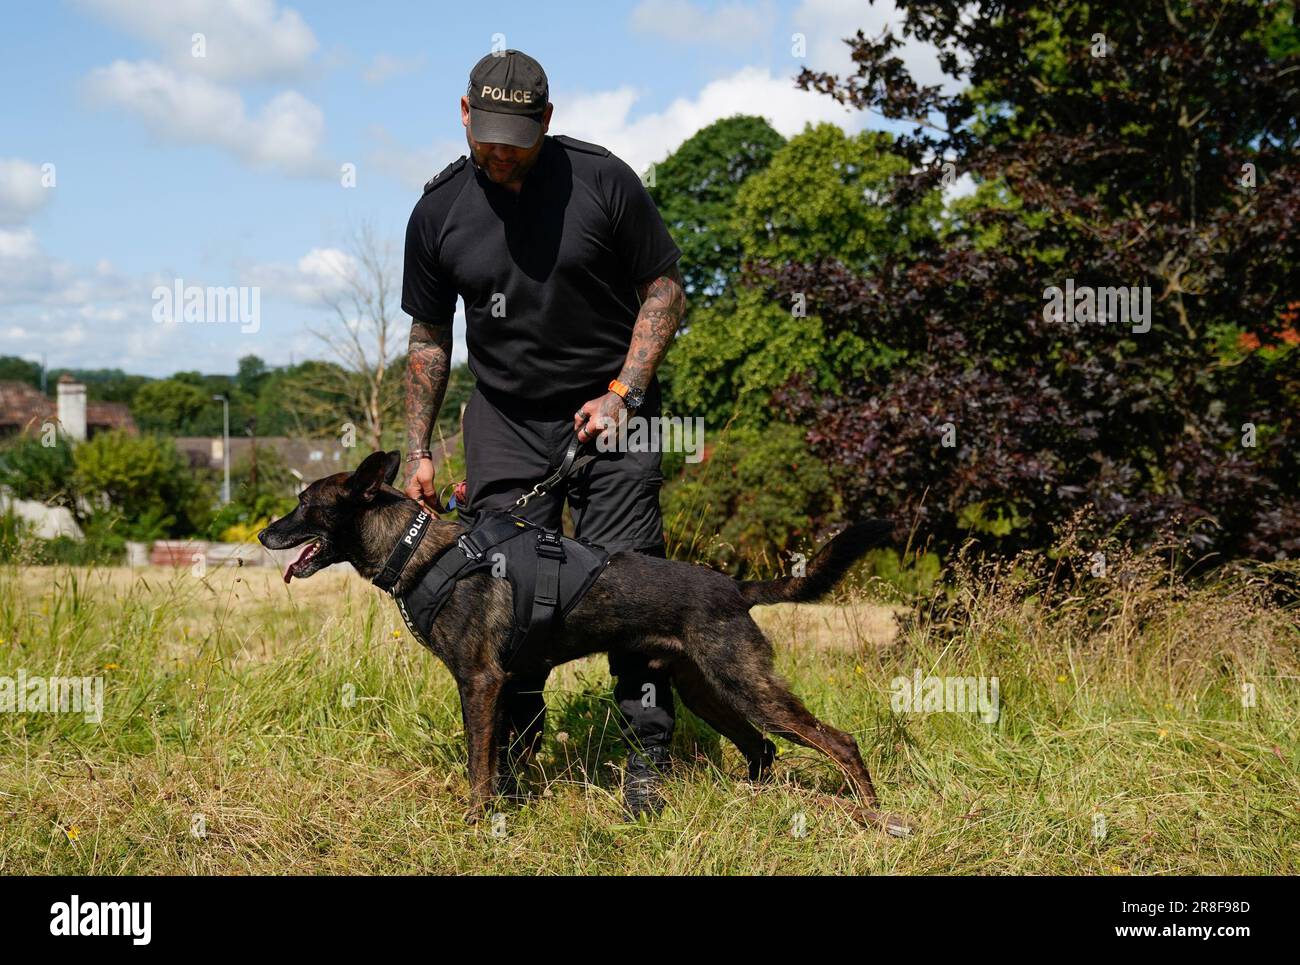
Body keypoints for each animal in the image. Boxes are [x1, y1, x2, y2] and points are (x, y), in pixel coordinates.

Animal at [258, 449, 909, 837]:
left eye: (304, 504)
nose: (264, 533)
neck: (417, 548)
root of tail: (736, 588)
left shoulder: (480, 682)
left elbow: (477, 764)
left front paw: (476, 822)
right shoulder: (506, 685)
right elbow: (501, 756)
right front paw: (503, 808)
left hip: (747, 686)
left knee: (838, 741)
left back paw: (874, 815)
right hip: (710, 692)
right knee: (762, 747)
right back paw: (751, 802)